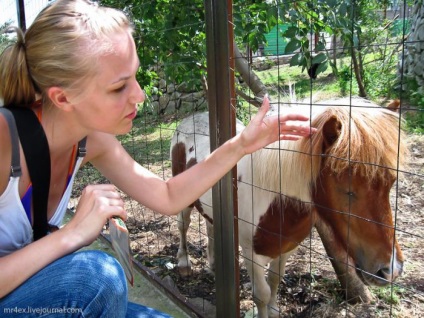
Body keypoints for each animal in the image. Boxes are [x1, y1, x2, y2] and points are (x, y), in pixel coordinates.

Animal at [169, 97, 408, 318]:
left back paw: (213, 264)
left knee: (210, 226)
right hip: (184, 200)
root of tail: (191, 118)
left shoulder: (286, 248)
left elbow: (275, 279)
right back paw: (184, 263)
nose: (390, 270)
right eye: (347, 189)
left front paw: (274, 309)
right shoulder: (251, 253)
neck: (275, 202)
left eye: (391, 183)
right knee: (183, 225)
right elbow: (261, 294)